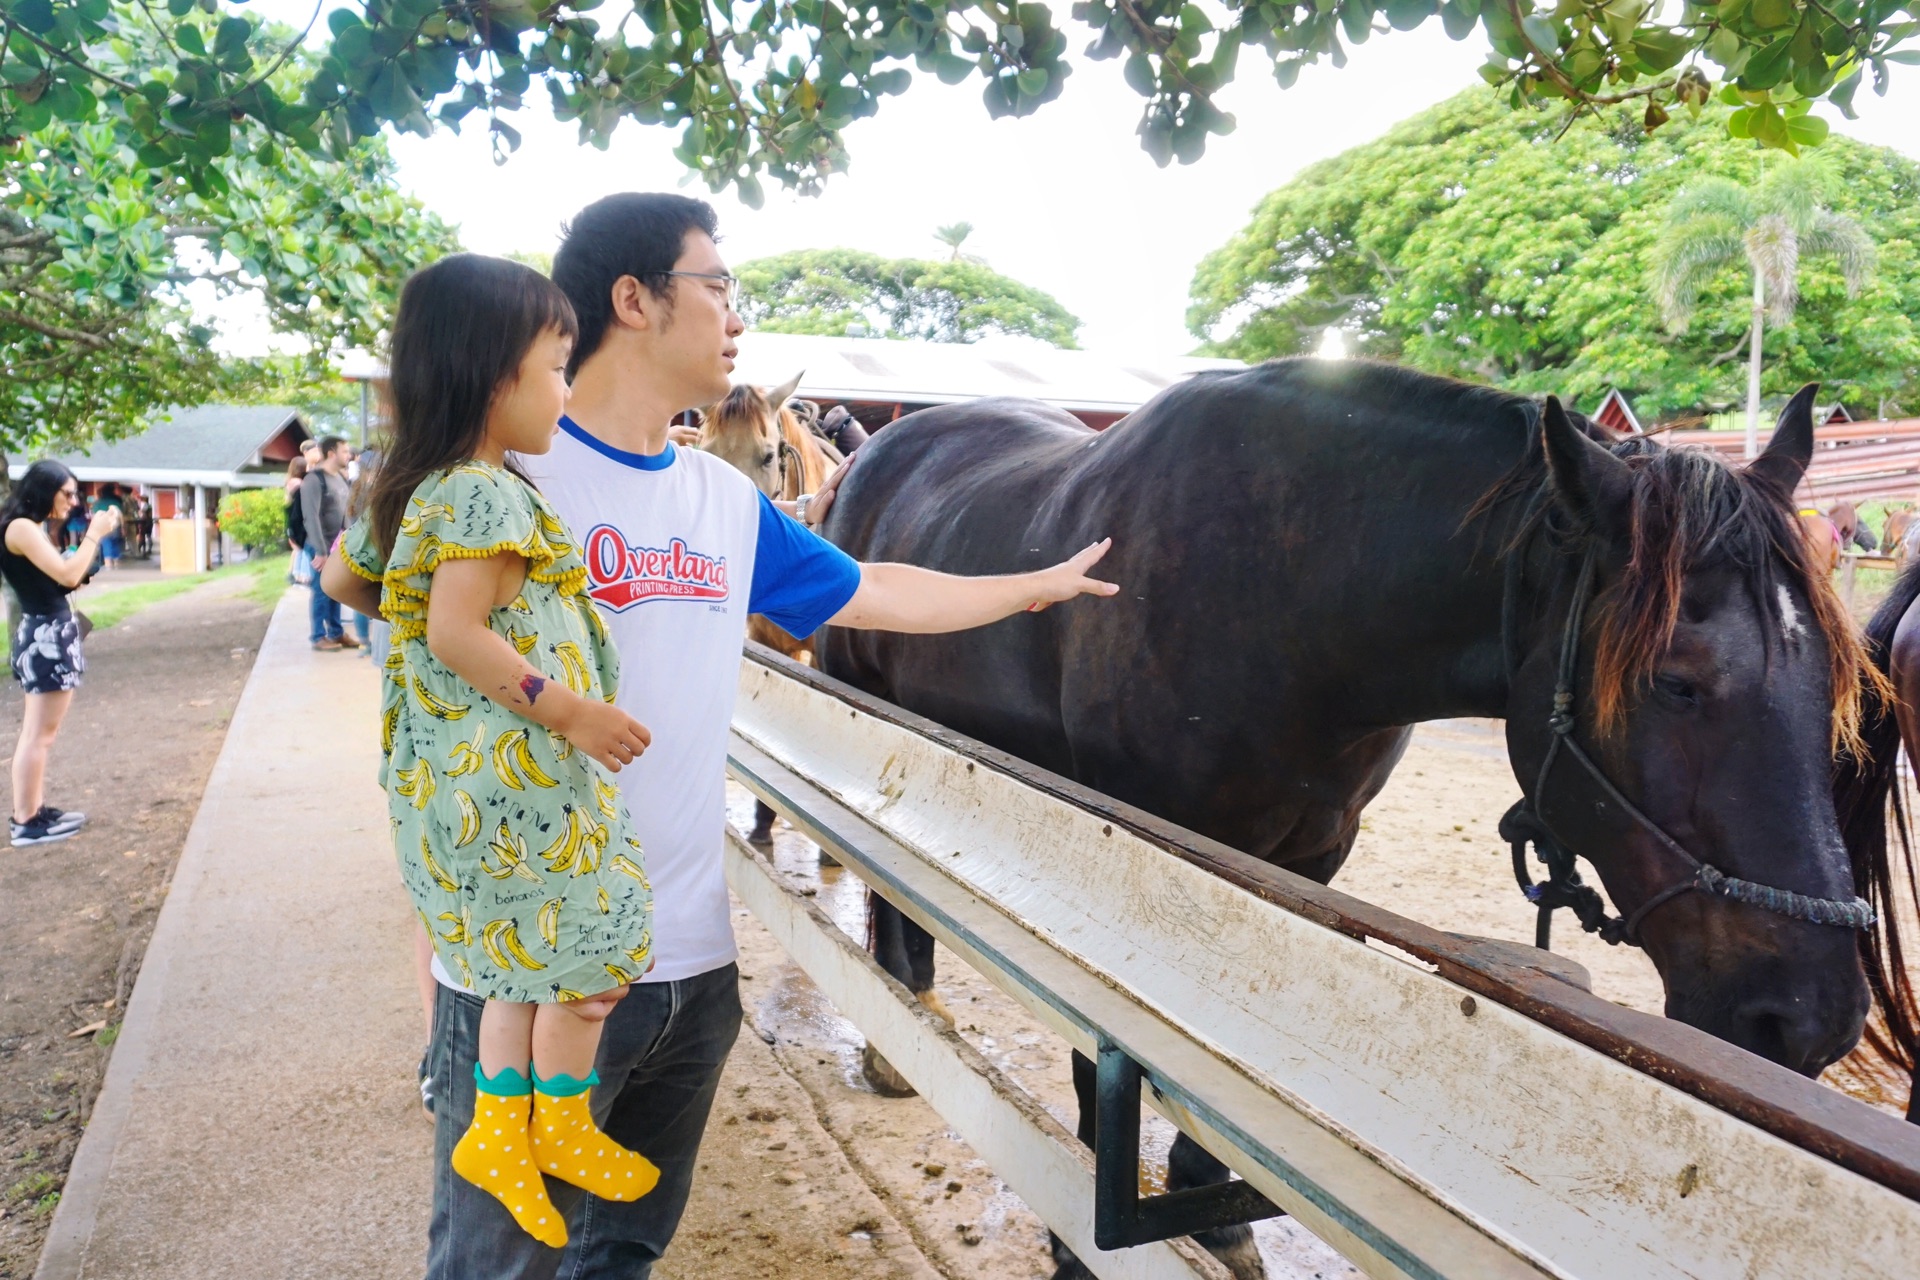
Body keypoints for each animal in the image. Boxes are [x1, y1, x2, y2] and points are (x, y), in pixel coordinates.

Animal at [821, 360, 1904, 1280]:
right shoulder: (1111, 845)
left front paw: (1215, 1216)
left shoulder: (1310, 854)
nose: (1807, 1018)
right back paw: (894, 1012)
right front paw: (1080, 1239)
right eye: (1677, 682)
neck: (1281, 597)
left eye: (1843, 679)